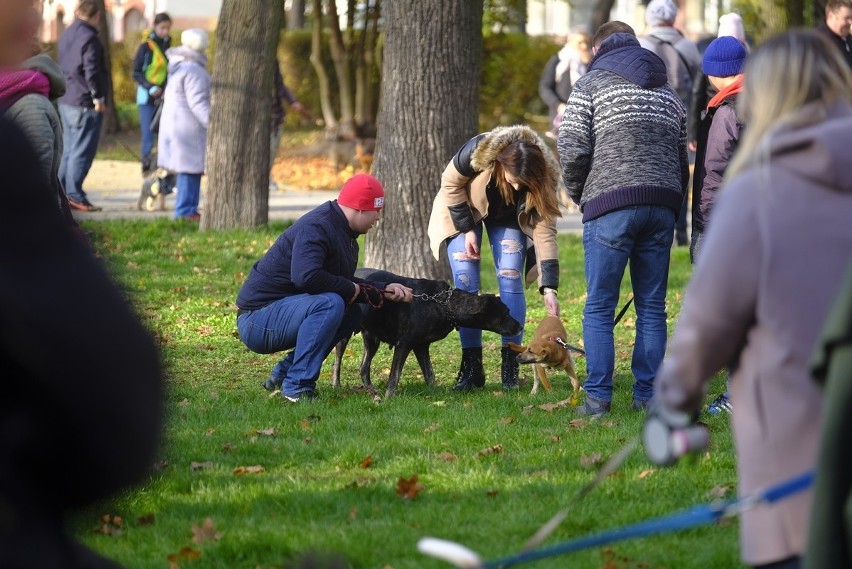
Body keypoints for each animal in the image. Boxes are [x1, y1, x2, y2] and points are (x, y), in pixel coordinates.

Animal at [332, 268, 520, 398]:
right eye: (505, 313)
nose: (520, 327)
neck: (443, 303)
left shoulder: (421, 346)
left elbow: (430, 373)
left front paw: (435, 393)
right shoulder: (404, 343)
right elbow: (395, 374)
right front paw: (389, 396)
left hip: (372, 338)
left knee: (363, 368)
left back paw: (372, 391)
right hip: (344, 335)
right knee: (337, 362)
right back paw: (336, 387)